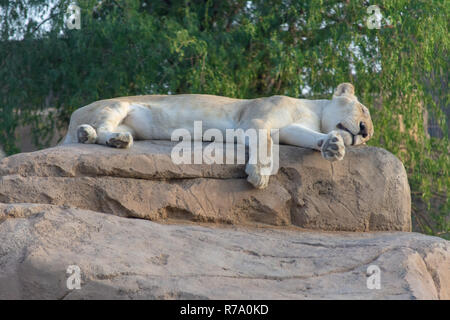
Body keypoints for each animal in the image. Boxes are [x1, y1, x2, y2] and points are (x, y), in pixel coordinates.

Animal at [63, 82, 372, 189]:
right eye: (363, 110)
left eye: (369, 138)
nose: (365, 132)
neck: (313, 110)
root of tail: (73, 117)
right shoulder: (256, 119)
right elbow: (264, 145)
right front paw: (258, 174)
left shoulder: (288, 130)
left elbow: (309, 138)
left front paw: (333, 146)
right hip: (115, 105)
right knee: (100, 127)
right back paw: (103, 136)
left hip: (130, 123)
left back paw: (107, 137)